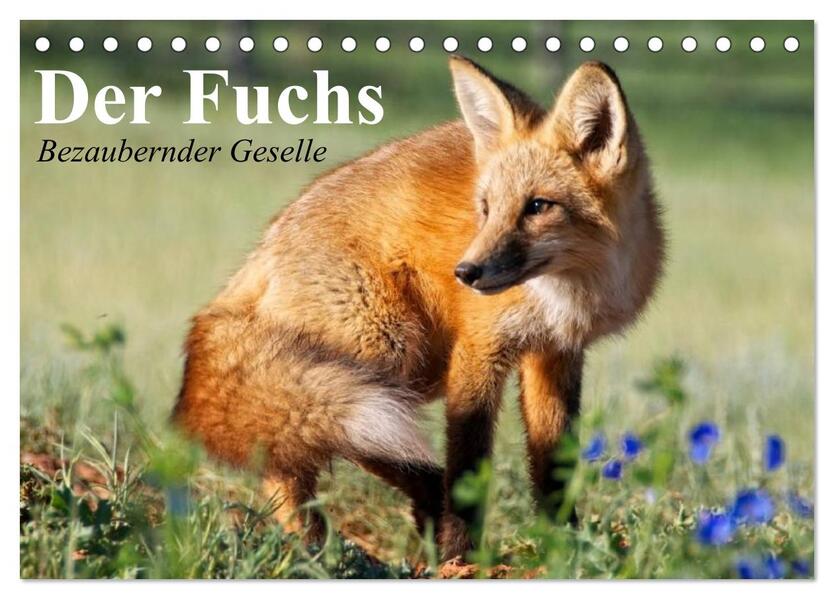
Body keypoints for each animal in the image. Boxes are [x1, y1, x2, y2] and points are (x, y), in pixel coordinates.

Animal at [173, 56, 664, 561]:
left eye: (538, 206)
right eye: (486, 208)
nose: (466, 273)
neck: (567, 292)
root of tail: (262, 250)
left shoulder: (555, 353)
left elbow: (554, 468)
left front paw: (565, 547)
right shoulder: (478, 350)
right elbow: (469, 463)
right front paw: (462, 557)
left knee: (291, 451)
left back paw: (330, 544)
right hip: (388, 355)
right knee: (303, 448)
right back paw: (330, 547)